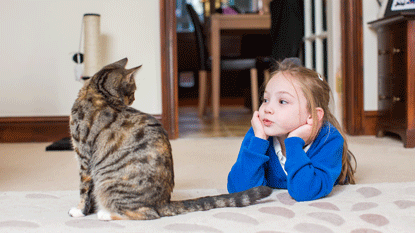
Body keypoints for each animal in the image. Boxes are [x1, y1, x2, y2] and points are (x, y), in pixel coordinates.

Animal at [67, 57, 272, 220]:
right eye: (132, 92)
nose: (132, 100)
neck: (99, 92)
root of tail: (163, 202)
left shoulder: (84, 157)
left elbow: (84, 189)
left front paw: (79, 211)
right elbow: (88, 191)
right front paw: (87, 209)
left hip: (110, 184)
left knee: (146, 214)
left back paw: (105, 214)